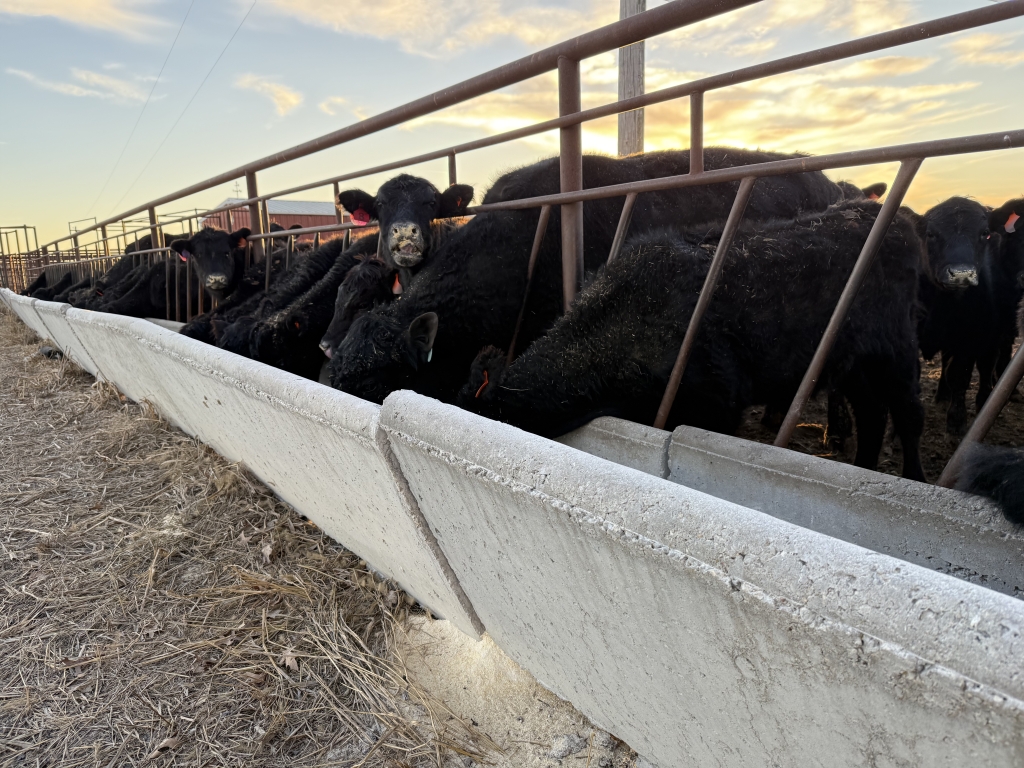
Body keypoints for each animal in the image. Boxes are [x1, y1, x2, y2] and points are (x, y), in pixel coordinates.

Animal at [460, 201, 925, 483]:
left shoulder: (719, 406)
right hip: (855, 367)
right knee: (872, 416)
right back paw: (866, 468)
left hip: (899, 356)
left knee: (908, 416)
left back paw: (913, 476)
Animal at [917, 198, 1019, 436]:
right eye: (931, 234)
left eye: (985, 233)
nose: (961, 274)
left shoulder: (970, 339)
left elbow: (960, 375)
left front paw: (956, 420)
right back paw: (942, 395)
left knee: (989, 364)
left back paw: (985, 400)